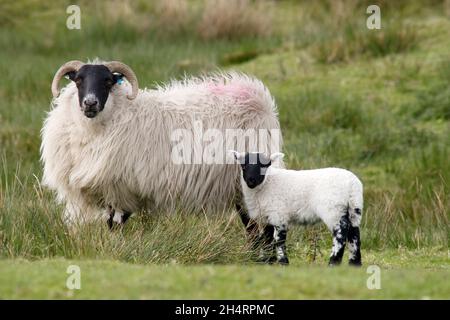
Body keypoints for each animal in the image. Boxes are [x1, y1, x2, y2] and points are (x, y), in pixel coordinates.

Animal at [41, 58, 282, 234]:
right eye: (78, 80)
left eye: (108, 82)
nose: (90, 103)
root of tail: (258, 97)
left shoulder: (122, 188)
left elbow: (114, 227)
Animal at [230, 151, 364, 266]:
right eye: (243, 166)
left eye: (264, 165)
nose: (251, 180)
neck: (266, 184)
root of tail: (352, 184)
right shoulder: (268, 216)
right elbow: (267, 239)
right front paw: (268, 262)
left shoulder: (279, 215)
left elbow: (278, 240)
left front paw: (283, 262)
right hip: (354, 208)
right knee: (354, 234)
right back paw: (355, 264)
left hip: (333, 209)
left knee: (341, 233)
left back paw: (333, 262)